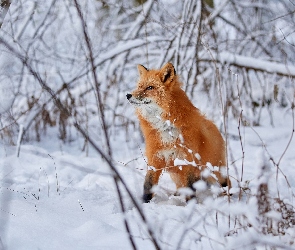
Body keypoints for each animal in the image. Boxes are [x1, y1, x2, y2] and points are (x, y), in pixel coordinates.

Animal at [127, 63, 231, 203]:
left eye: (150, 87)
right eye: (139, 86)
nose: (128, 95)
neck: (166, 128)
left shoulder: (188, 160)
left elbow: (190, 189)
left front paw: (191, 205)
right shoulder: (155, 158)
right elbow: (148, 184)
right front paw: (144, 203)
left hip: (214, 171)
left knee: (226, 181)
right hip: (177, 173)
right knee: (181, 186)